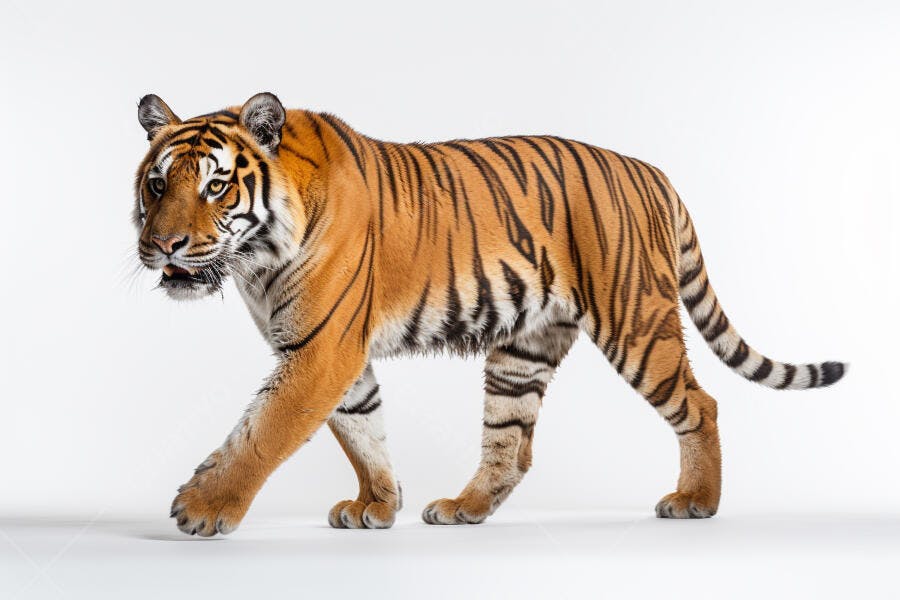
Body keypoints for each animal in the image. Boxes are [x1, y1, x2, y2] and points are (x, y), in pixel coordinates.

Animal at [134, 92, 846, 536]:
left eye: (216, 186)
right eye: (158, 184)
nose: (163, 246)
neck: (255, 261)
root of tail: (651, 171)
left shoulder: (322, 349)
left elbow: (265, 429)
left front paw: (203, 508)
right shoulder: (329, 351)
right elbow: (363, 430)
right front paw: (377, 505)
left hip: (637, 321)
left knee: (701, 404)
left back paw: (697, 502)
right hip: (524, 348)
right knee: (511, 443)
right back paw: (462, 509)